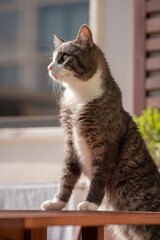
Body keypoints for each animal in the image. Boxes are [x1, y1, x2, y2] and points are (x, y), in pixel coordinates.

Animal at [41, 24, 160, 240]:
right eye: (53, 58)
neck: (78, 97)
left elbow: (99, 176)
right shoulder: (71, 143)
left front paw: (90, 204)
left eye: (64, 57)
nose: (49, 67)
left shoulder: (105, 144)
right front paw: (57, 203)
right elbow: (66, 176)